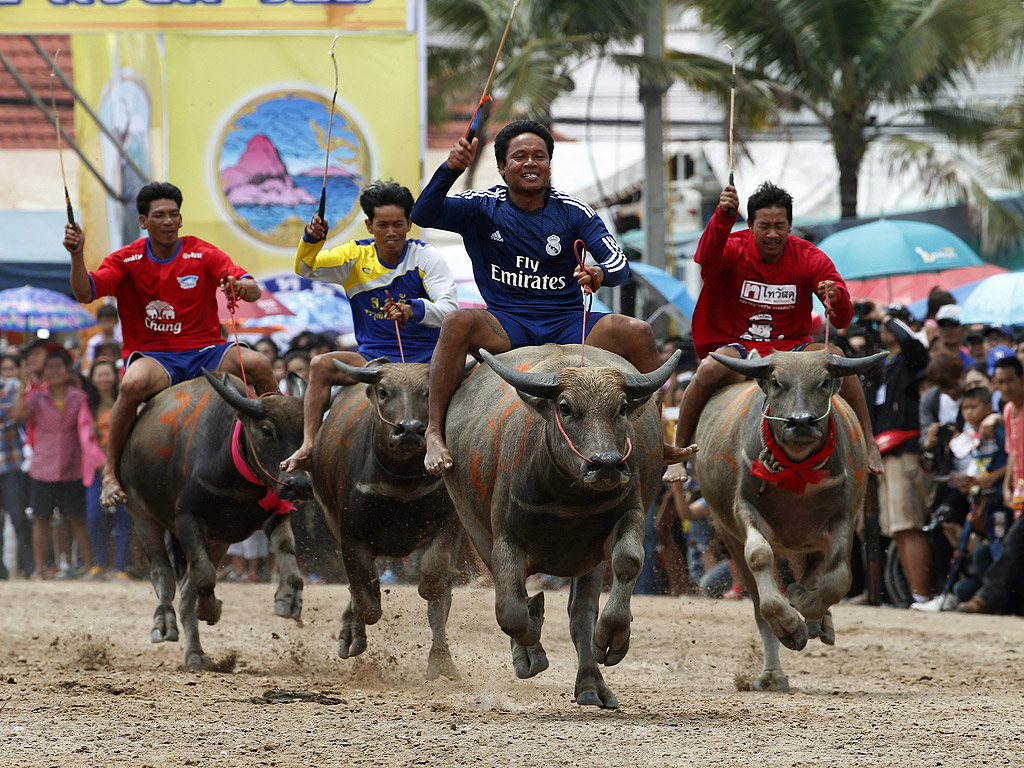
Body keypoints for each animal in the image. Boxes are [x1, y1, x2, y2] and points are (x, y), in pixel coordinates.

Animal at [119, 370, 311, 671]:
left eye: (306, 430)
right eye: (266, 431)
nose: (299, 485)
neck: (237, 478)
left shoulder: (273, 513)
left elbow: (288, 555)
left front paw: (289, 599)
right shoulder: (187, 518)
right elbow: (204, 575)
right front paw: (210, 609)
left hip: (218, 539)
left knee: (187, 591)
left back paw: (195, 654)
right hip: (141, 514)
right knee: (163, 573)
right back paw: (164, 623)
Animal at [307, 360, 460, 679]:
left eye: (429, 391)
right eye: (383, 391)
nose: (409, 430)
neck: (401, 481)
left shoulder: (450, 521)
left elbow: (434, 575)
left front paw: (431, 588)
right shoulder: (350, 534)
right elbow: (367, 602)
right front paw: (353, 631)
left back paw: (441, 661)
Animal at [440, 342, 679, 708]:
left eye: (622, 407)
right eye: (565, 408)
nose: (606, 465)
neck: (568, 500)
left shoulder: (629, 515)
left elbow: (628, 562)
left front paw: (613, 638)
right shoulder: (504, 537)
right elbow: (510, 610)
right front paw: (533, 639)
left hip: (588, 561)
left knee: (581, 613)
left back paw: (592, 684)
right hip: (472, 524)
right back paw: (529, 652)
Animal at [696, 348, 888, 692]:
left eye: (823, 382)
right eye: (776, 382)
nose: (801, 422)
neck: (797, 470)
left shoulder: (843, 518)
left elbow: (838, 579)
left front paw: (803, 602)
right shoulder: (745, 511)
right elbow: (760, 562)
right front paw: (790, 626)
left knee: (816, 575)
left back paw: (817, 620)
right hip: (728, 534)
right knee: (758, 601)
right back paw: (773, 673)